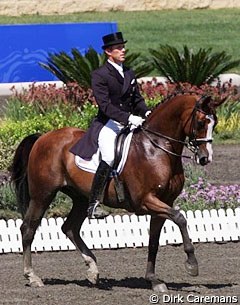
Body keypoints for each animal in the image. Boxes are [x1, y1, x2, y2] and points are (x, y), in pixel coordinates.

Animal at [9, 93, 219, 292]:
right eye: (201, 122)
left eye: (214, 122)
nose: (205, 158)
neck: (156, 148)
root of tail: (43, 137)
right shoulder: (146, 201)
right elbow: (180, 218)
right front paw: (192, 264)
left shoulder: (164, 202)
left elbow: (154, 240)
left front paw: (153, 280)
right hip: (42, 195)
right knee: (28, 228)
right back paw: (32, 276)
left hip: (81, 198)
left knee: (69, 228)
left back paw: (92, 270)